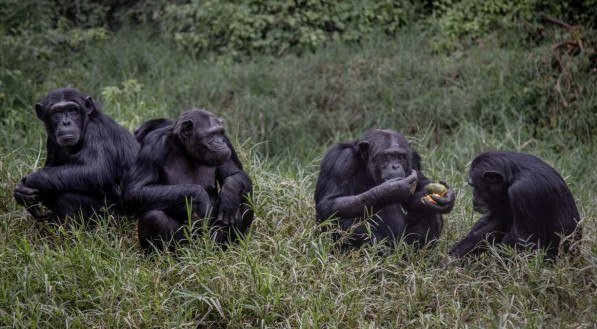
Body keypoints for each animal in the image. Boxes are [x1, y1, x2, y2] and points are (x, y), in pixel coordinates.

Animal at [14, 88, 141, 220]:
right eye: (57, 112)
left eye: (72, 110)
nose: (66, 122)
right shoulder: (51, 141)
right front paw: (21, 194)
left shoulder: (98, 130)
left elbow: (95, 170)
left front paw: (28, 182)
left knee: (65, 197)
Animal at [123, 109, 254, 250]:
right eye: (212, 134)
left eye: (220, 133)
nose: (220, 142)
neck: (185, 150)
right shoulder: (152, 144)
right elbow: (136, 190)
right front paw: (200, 196)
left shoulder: (227, 142)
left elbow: (235, 174)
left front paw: (229, 196)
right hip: (185, 243)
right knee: (153, 217)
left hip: (212, 239)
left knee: (245, 199)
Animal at [314, 128, 454, 249]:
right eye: (387, 156)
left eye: (401, 157)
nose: (395, 166)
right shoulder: (340, 160)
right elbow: (328, 203)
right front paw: (392, 190)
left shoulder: (413, 157)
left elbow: (419, 187)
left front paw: (448, 198)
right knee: (350, 225)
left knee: (430, 212)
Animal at [450, 150, 580, 258]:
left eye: (473, 186)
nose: (473, 196)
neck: (512, 176)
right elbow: (495, 222)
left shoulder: (523, 191)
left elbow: (521, 240)